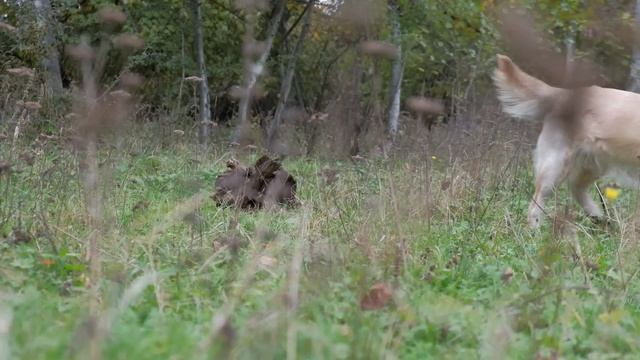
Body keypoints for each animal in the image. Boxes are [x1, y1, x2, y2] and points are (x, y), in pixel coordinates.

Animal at [496, 53, 640, 228]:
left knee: (575, 187)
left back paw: (596, 214)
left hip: (591, 165)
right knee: (536, 205)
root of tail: (564, 94)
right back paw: (534, 232)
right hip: (555, 167)